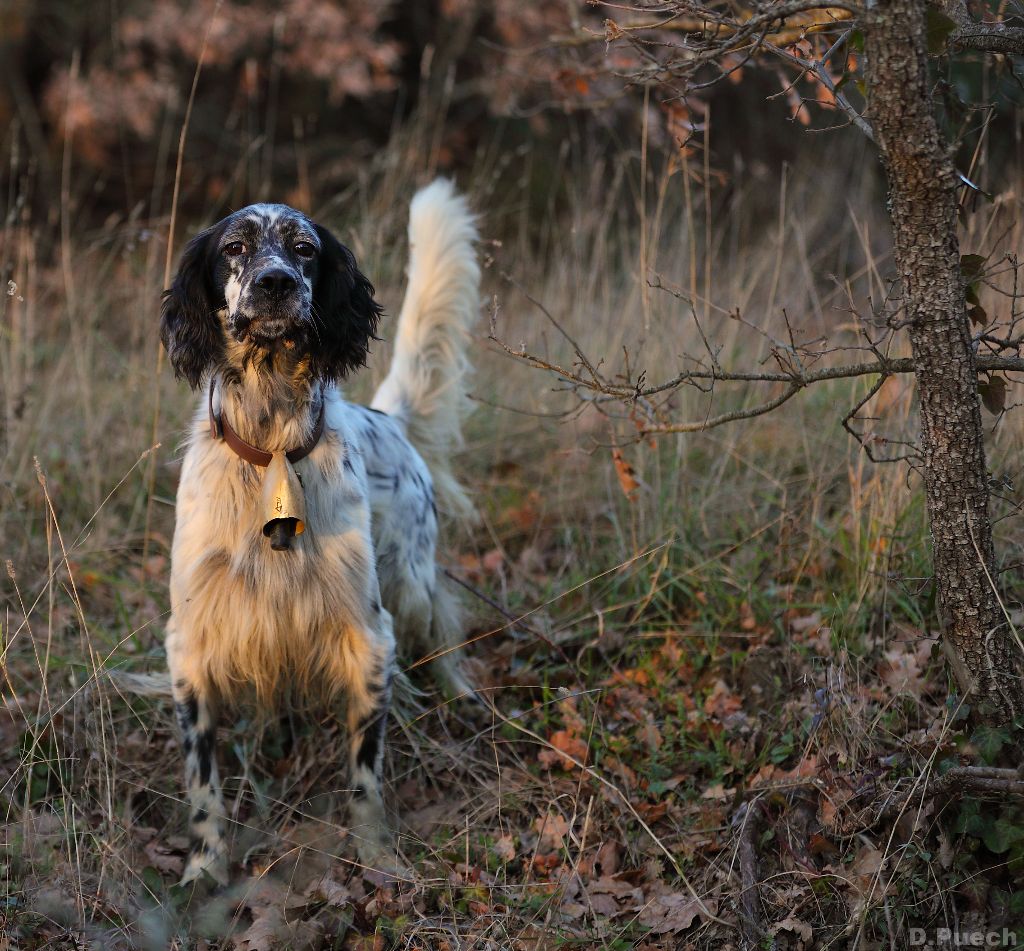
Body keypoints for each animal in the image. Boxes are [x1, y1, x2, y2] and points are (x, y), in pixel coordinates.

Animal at [158, 180, 479, 884]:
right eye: (234, 247)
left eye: (304, 249)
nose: (276, 282)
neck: (273, 443)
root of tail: (389, 417)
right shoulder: (193, 644)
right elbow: (202, 784)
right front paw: (204, 871)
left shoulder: (368, 634)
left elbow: (365, 776)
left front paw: (378, 857)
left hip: (410, 579)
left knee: (442, 620)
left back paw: (462, 692)